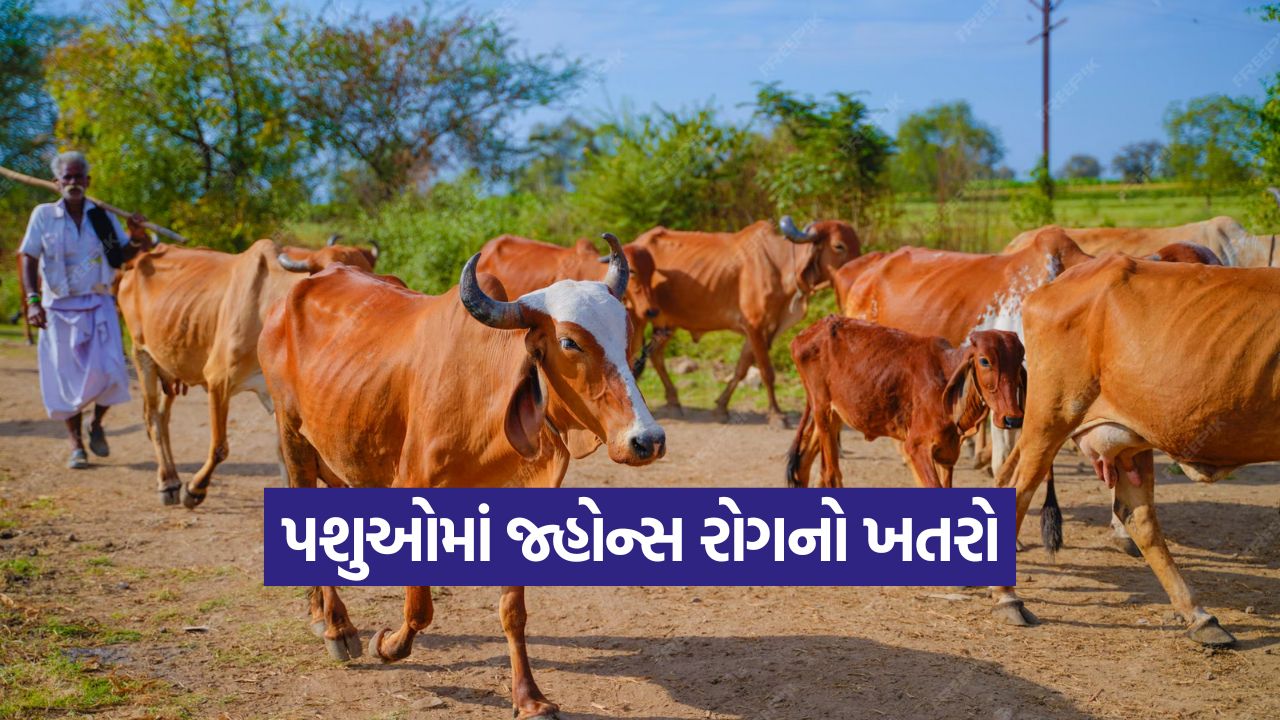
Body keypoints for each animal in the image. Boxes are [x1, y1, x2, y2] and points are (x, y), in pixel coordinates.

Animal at [115, 236, 378, 507]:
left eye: (370, 271)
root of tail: (135, 263)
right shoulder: (218, 379)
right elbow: (219, 447)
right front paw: (194, 489)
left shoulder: (277, 397)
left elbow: (282, 452)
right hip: (141, 354)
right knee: (152, 419)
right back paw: (167, 483)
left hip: (171, 368)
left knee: (163, 417)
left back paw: (174, 479)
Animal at [635, 216, 860, 426]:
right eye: (839, 246)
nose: (858, 271)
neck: (779, 265)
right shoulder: (756, 327)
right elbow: (767, 372)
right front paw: (776, 414)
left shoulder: (760, 331)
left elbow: (741, 369)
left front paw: (721, 408)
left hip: (666, 324)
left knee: (656, 356)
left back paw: (674, 402)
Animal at [785, 318, 1025, 490]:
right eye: (984, 361)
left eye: (1019, 360)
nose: (1012, 418)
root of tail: (802, 336)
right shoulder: (916, 446)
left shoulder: (947, 454)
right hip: (822, 409)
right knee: (830, 475)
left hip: (835, 414)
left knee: (804, 461)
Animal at [990, 254, 1280, 648]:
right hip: (1052, 415)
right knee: (1017, 487)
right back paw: (1007, 597)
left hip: (1127, 436)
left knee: (1136, 516)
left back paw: (1200, 617)